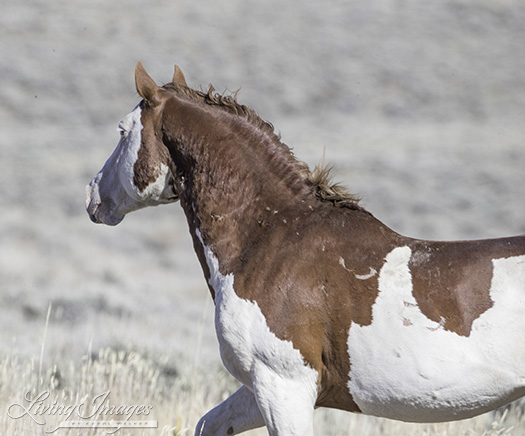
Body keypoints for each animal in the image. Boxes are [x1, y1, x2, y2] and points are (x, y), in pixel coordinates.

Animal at [85, 62, 524, 436]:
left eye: (122, 130)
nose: (92, 195)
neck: (270, 241)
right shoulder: (260, 389)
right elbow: (207, 424)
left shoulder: (283, 386)